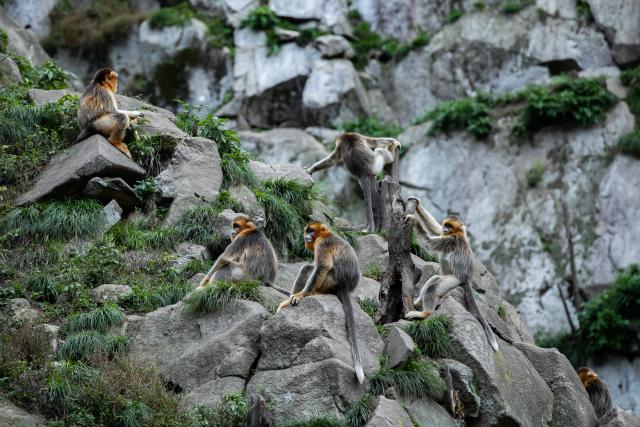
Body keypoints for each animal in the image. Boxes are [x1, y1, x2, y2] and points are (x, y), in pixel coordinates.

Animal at [277, 221, 365, 383]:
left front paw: (301, 295)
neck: (324, 234)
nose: (307, 236)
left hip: (330, 281)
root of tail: (345, 285)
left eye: (311, 231)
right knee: (307, 268)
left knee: (314, 268)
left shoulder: (322, 243)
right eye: (307, 231)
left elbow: (323, 267)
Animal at [405, 197, 499, 352]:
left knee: (434, 286)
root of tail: (466, 278)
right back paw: (418, 301)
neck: (457, 234)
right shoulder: (448, 235)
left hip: (453, 280)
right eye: (446, 225)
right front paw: (417, 204)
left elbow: (429, 242)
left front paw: (413, 220)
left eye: (450, 226)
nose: (446, 229)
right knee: (434, 278)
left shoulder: (451, 240)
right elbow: (435, 229)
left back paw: (425, 313)